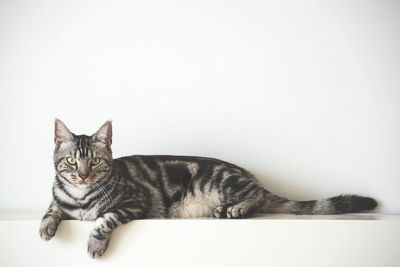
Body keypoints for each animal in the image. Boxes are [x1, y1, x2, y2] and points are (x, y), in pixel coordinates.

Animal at [38, 119, 378, 258]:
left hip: (218, 181)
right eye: (71, 160)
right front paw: (46, 227)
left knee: (256, 197)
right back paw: (223, 210)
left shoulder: (136, 201)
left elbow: (105, 218)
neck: (81, 198)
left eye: (95, 161)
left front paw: (95, 241)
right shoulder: (61, 198)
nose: (83, 176)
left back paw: (237, 208)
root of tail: (247, 174)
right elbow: (52, 207)